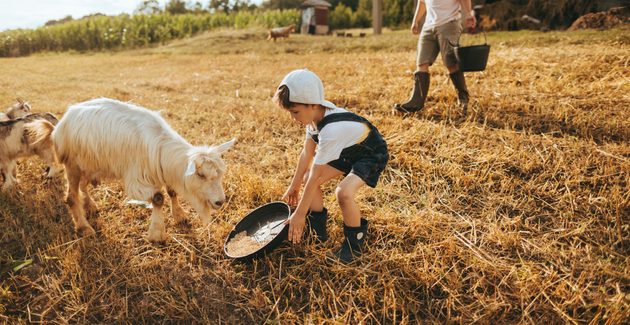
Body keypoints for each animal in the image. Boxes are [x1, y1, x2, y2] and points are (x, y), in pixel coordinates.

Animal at [49, 98, 236, 243]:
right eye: (201, 175)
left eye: (220, 174)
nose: (220, 202)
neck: (160, 144)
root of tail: (62, 122)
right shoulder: (136, 181)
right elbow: (159, 198)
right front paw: (157, 234)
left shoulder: (162, 171)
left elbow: (171, 192)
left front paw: (179, 215)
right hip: (72, 164)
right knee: (71, 197)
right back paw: (84, 227)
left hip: (89, 165)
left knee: (83, 186)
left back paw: (90, 206)